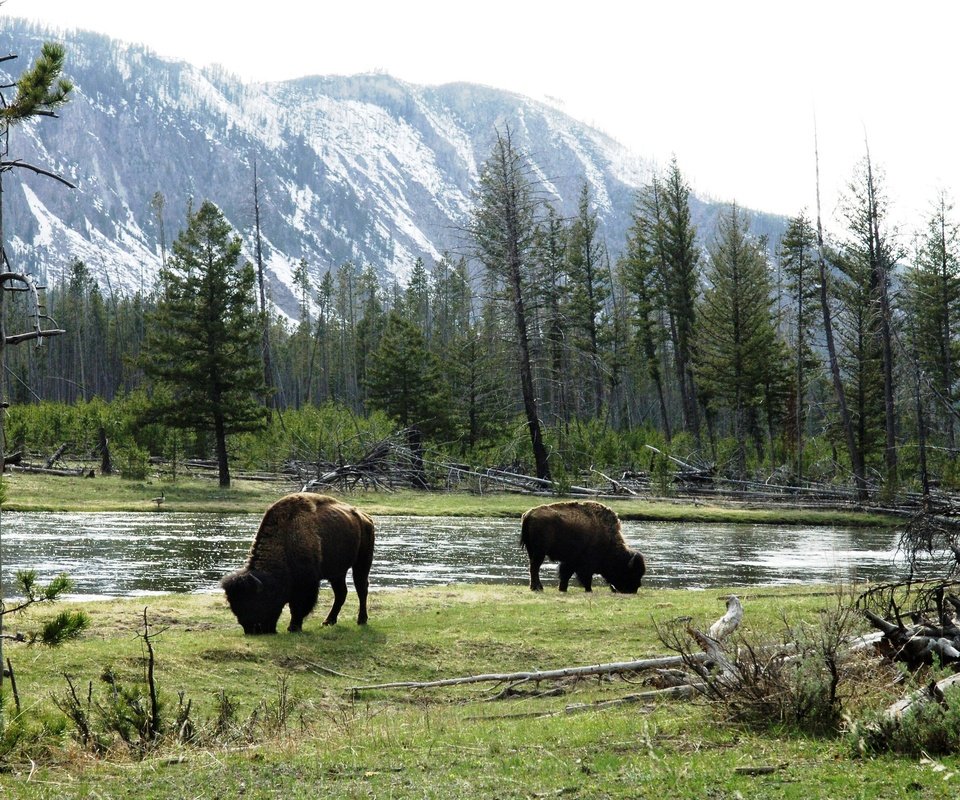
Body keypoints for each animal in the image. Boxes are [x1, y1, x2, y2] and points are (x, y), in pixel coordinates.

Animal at [222, 490, 376, 636]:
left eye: (256, 602)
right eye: (234, 607)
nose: (253, 630)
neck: (285, 540)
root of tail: (366, 518)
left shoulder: (306, 583)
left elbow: (298, 606)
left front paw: (293, 627)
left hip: (362, 563)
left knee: (361, 589)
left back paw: (361, 620)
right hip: (337, 572)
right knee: (341, 593)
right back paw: (328, 621)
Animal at [520, 500, 648, 592]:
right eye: (632, 572)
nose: (634, 589)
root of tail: (528, 514)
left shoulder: (570, 561)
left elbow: (565, 575)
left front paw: (562, 588)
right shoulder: (585, 564)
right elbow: (586, 578)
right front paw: (589, 590)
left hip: (532, 551)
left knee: (533, 567)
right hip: (539, 552)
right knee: (535, 567)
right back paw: (537, 588)